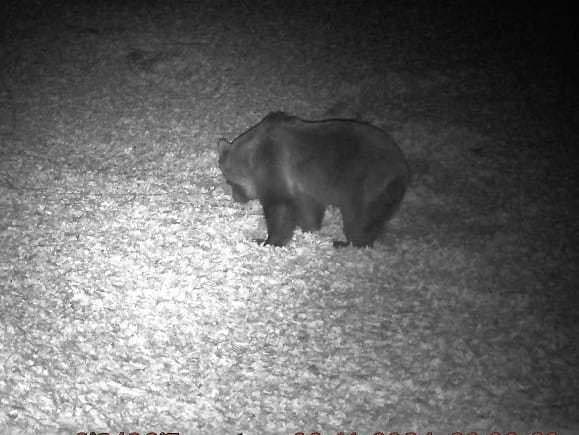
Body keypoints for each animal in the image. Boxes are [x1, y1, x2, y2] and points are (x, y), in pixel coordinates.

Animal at [215, 111, 410, 249]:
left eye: (230, 182)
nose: (236, 198)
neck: (252, 157)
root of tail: (403, 167)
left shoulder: (274, 165)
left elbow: (280, 206)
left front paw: (267, 240)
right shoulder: (304, 184)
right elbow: (308, 207)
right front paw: (309, 228)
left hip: (366, 183)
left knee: (358, 217)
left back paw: (347, 242)